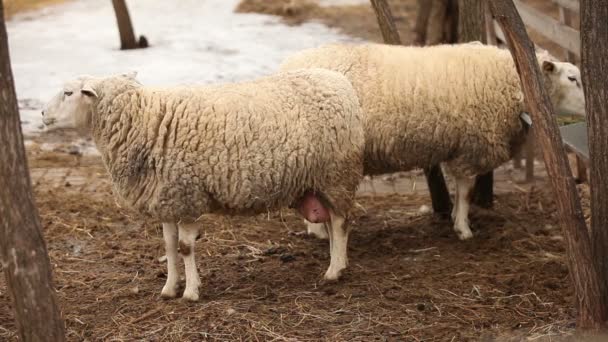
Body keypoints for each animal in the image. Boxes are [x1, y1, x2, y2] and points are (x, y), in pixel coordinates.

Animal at [44, 70, 366, 302]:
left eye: (68, 93)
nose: (43, 115)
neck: (144, 121)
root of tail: (341, 82)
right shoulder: (167, 199)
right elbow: (169, 246)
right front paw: (169, 288)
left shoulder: (187, 196)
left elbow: (185, 247)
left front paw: (190, 293)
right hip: (322, 181)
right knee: (332, 222)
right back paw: (339, 262)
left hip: (336, 173)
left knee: (340, 222)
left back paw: (334, 271)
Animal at [282, 42, 588, 240]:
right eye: (572, 78)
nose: (591, 108)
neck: (513, 81)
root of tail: (288, 65)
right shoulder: (470, 146)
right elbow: (466, 191)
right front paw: (463, 228)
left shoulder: (461, 146)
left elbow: (462, 191)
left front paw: (454, 218)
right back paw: (319, 231)